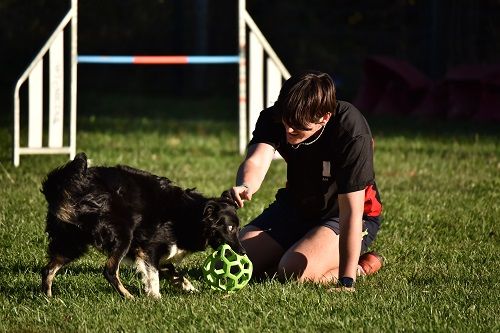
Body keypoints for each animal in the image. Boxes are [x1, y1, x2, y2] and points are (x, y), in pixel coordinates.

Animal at [41, 153, 244, 298]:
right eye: (230, 228)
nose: (243, 253)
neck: (189, 215)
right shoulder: (149, 248)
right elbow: (153, 275)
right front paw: (155, 297)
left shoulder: (158, 252)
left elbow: (173, 272)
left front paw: (189, 287)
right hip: (123, 235)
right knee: (109, 270)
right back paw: (128, 297)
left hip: (72, 241)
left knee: (48, 269)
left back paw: (48, 298)